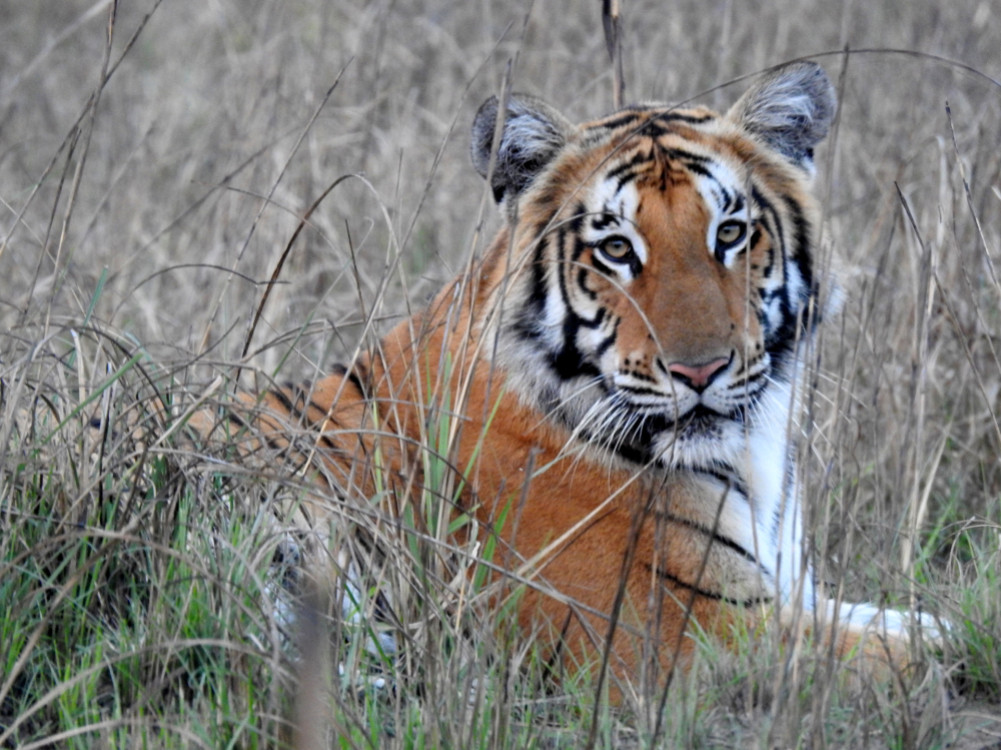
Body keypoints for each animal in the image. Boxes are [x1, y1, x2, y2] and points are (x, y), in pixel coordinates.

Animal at [201, 62, 943, 696]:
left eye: (730, 233)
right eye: (615, 248)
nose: (699, 370)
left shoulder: (787, 594)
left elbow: (915, 618)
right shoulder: (680, 637)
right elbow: (924, 651)